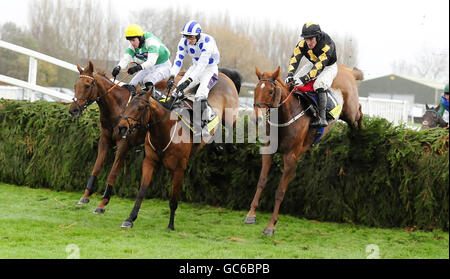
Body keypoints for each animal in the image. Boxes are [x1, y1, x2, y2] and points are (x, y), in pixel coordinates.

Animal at [118, 71, 241, 230]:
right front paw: (130, 218)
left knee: (231, 127)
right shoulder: (150, 161)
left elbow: (173, 199)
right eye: (128, 104)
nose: (122, 127)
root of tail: (224, 75)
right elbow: (141, 191)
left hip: (231, 116)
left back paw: (228, 146)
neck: (165, 131)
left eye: (140, 107)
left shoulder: (179, 168)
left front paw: (171, 225)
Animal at [244, 65, 364, 236]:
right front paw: (251, 214)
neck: (285, 117)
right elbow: (261, 181)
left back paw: (360, 132)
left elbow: (280, 191)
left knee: (359, 112)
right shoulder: (268, 151)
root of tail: (348, 70)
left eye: (271, 91)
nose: (257, 118)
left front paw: (271, 226)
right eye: (255, 90)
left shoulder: (291, 157)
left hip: (350, 111)